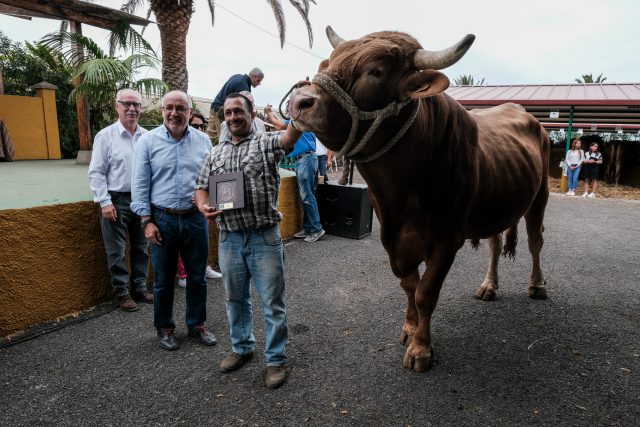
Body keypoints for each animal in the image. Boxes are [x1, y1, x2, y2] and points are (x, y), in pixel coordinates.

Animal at [290, 27, 552, 374]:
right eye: (328, 61)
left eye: (376, 71)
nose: (300, 101)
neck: (400, 191)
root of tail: (523, 112)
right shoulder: (392, 239)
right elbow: (409, 286)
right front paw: (410, 328)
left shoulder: (447, 239)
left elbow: (426, 293)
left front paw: (421, 349)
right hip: (494, 203)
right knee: (495, 244)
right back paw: (489, 286)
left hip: (540, 195)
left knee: (536, 241)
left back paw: (537, 285)